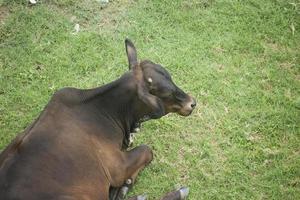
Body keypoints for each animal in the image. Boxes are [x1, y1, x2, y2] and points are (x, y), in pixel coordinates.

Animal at [0, 39, 197, 200]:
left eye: (170, 77)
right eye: (163, 92)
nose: (192, 103)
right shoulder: (117, 167)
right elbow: (147, 150)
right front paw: (123, 186)